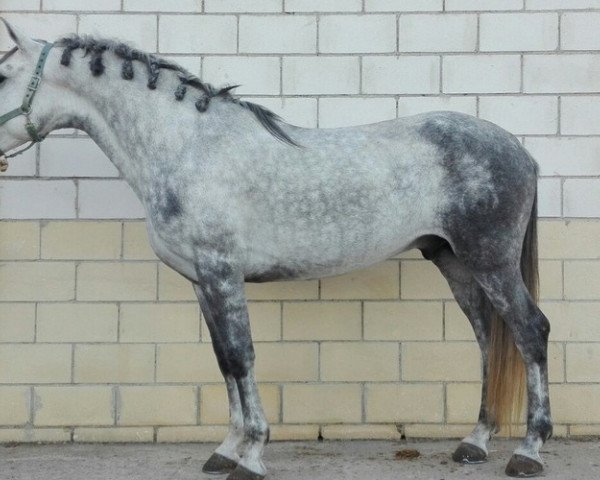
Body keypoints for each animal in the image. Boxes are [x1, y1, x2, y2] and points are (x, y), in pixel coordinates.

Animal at [0, 21, 552, 480]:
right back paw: (475, 442)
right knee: (487, 335)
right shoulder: (202, 281)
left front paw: (251, 456)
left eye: (3, 73)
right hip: (453, 260)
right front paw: (225, 451)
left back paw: (528, 452)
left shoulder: (222, 273)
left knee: (530, 331)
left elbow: (241, 356)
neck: (188, 147)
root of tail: (520, 150)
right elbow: (224, 360)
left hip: (490, 260)